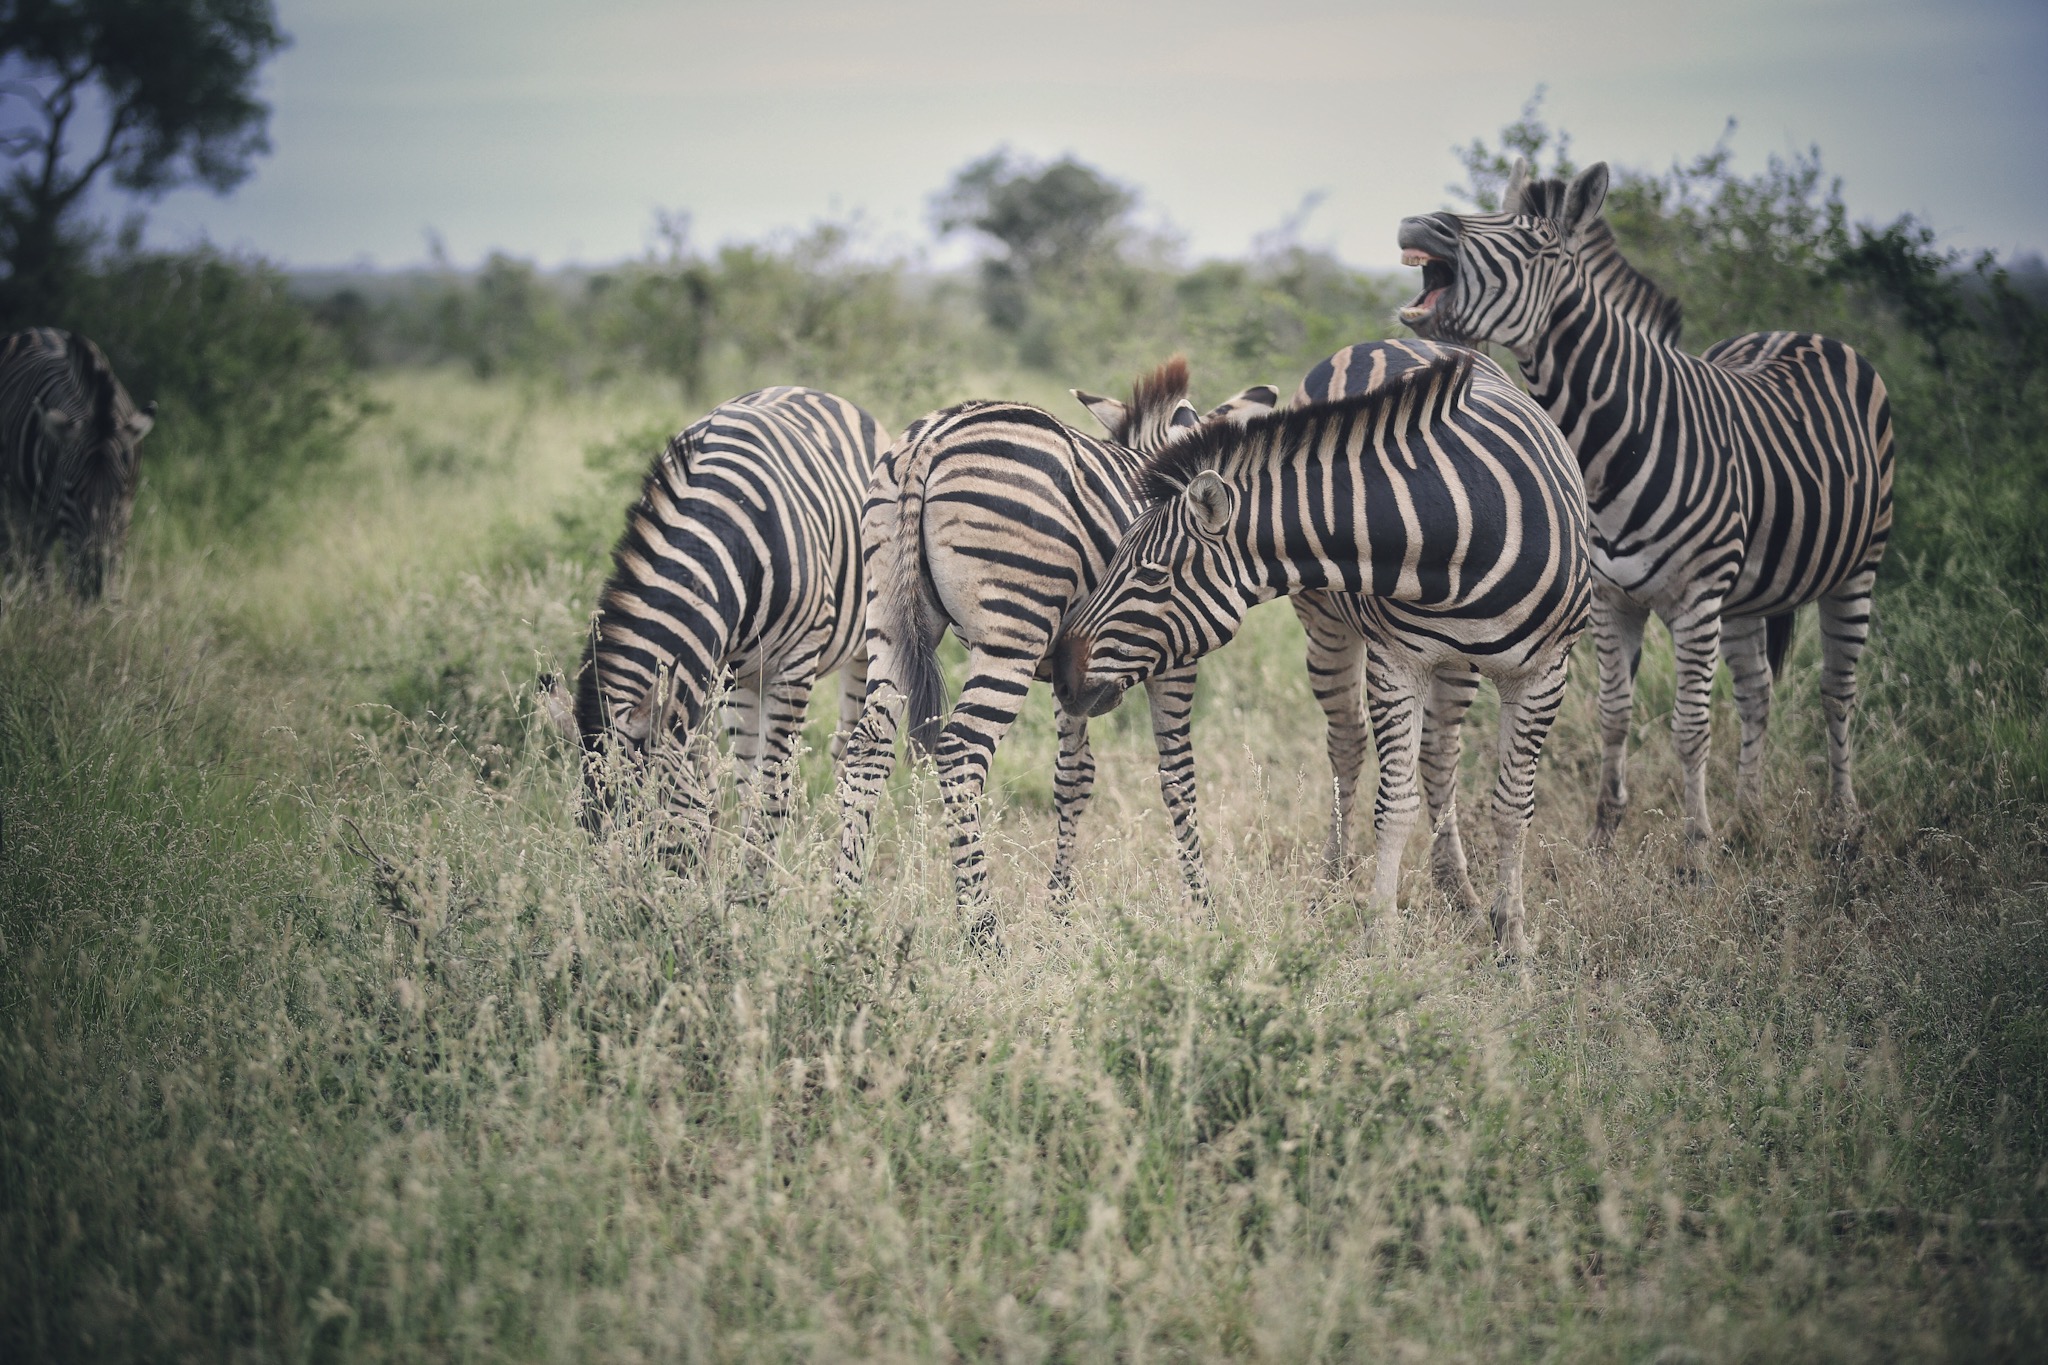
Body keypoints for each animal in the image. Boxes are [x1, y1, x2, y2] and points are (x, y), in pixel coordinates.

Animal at [0, 328, 156, 599]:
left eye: (120, 494)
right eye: (70, 491)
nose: (95, 582)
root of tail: (37, 330)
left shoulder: (123, 519)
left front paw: (102, 610)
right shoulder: (27, 519)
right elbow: (39, 586)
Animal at [539, 386, 886, 871]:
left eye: (645, 829)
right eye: (587, 833)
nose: (631, 900)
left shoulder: (796, 662)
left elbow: (772, 792)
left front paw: (755, 884)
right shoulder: (703, 669)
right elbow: (711, 786)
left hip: (861, 645)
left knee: (846, 753)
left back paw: (847, 863)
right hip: (744, 675)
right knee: (748, 767)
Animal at [835, 358, 1277, 945]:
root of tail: (929, 440)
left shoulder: (1073, 673)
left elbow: (1074, 777)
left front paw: (1059, 910)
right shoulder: (1173, 658)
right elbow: (1178, 778)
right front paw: (1204, 914)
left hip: (886, 611)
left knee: (868, 746)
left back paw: (844, 911)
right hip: (1011, 632)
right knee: (961, 753)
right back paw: (983, 934)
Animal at [1051, 351, 1591, 956]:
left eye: (1151, 575)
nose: (1059, 670)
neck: (1457, 523)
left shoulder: (1546, 673)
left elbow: (1512, 809)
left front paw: (1514, 944)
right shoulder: (1396, 662)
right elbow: (1395, 804)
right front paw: (1383, 939)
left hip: (1455, 663)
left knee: (1440, 753)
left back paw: (1462, 895)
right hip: (1328, 626)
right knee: (1351, 741)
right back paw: (1336, 884)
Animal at [1397, 159, 1895, 852]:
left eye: (1536, 242)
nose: (1420, 223)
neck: (1608, 449)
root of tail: (1804, 334)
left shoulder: (1696, 599)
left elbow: (1689, 726)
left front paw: (1695, 849)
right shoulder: (1614, 598)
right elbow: (1614, 713)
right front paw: (1605, 832)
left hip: (1857, 567)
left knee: (1836, 690)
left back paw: (1842, 818)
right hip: (1746, 596)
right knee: (1758, 693)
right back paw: (1749, 818)